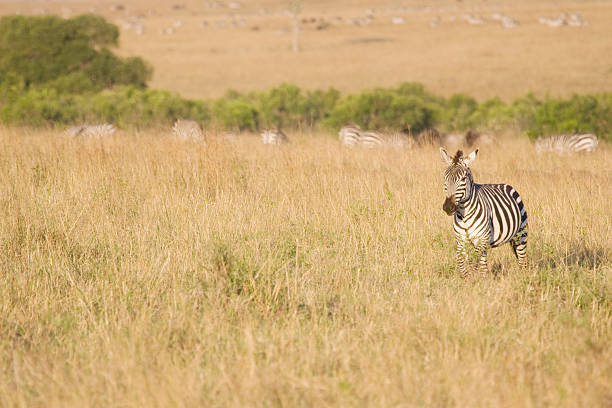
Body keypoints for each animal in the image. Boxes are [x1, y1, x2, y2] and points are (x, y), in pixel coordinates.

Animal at [438, 148, 528, 276]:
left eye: (463, 179)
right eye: (445, 178)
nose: (448, 207)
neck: (464, 215)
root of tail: (505, 185)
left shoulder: (480, 240)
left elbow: (474, 262)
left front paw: (474, 278)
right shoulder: (461, 241)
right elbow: (461, 263)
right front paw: (466, 278)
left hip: (521, 234)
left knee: (522, 260)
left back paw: (523, 276)